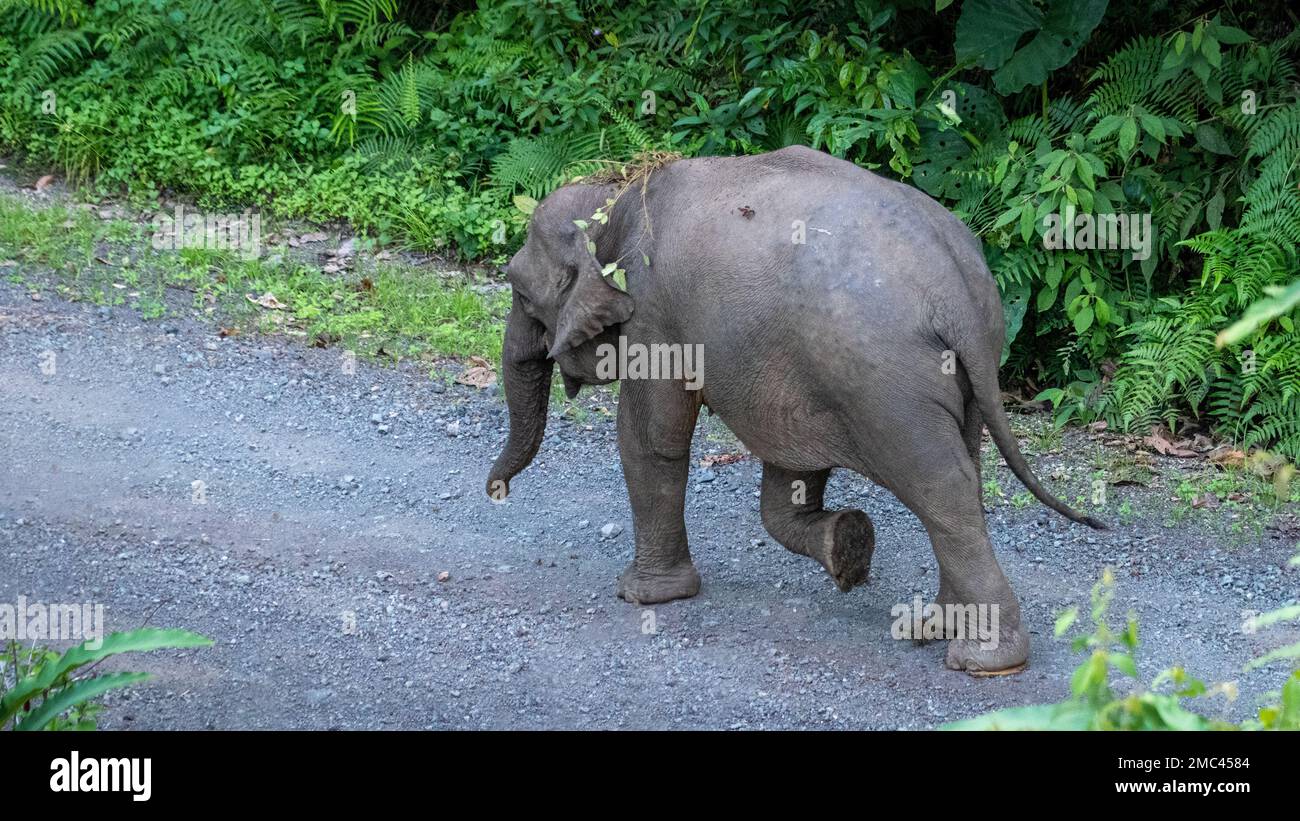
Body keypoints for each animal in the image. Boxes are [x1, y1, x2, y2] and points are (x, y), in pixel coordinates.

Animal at [485, 145, 1104, 674]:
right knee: (967, 475)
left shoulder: (656, 318)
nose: (496, 492)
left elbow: (651, 439)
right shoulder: (788, 369)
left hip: (886, 383)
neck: (618, 193)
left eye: (520, 293)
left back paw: (985, 660)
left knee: (942, 487)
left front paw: (642, 596)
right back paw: (934, 627)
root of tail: (960, 292)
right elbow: (788, 477)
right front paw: (847, 547)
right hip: (949, 377)